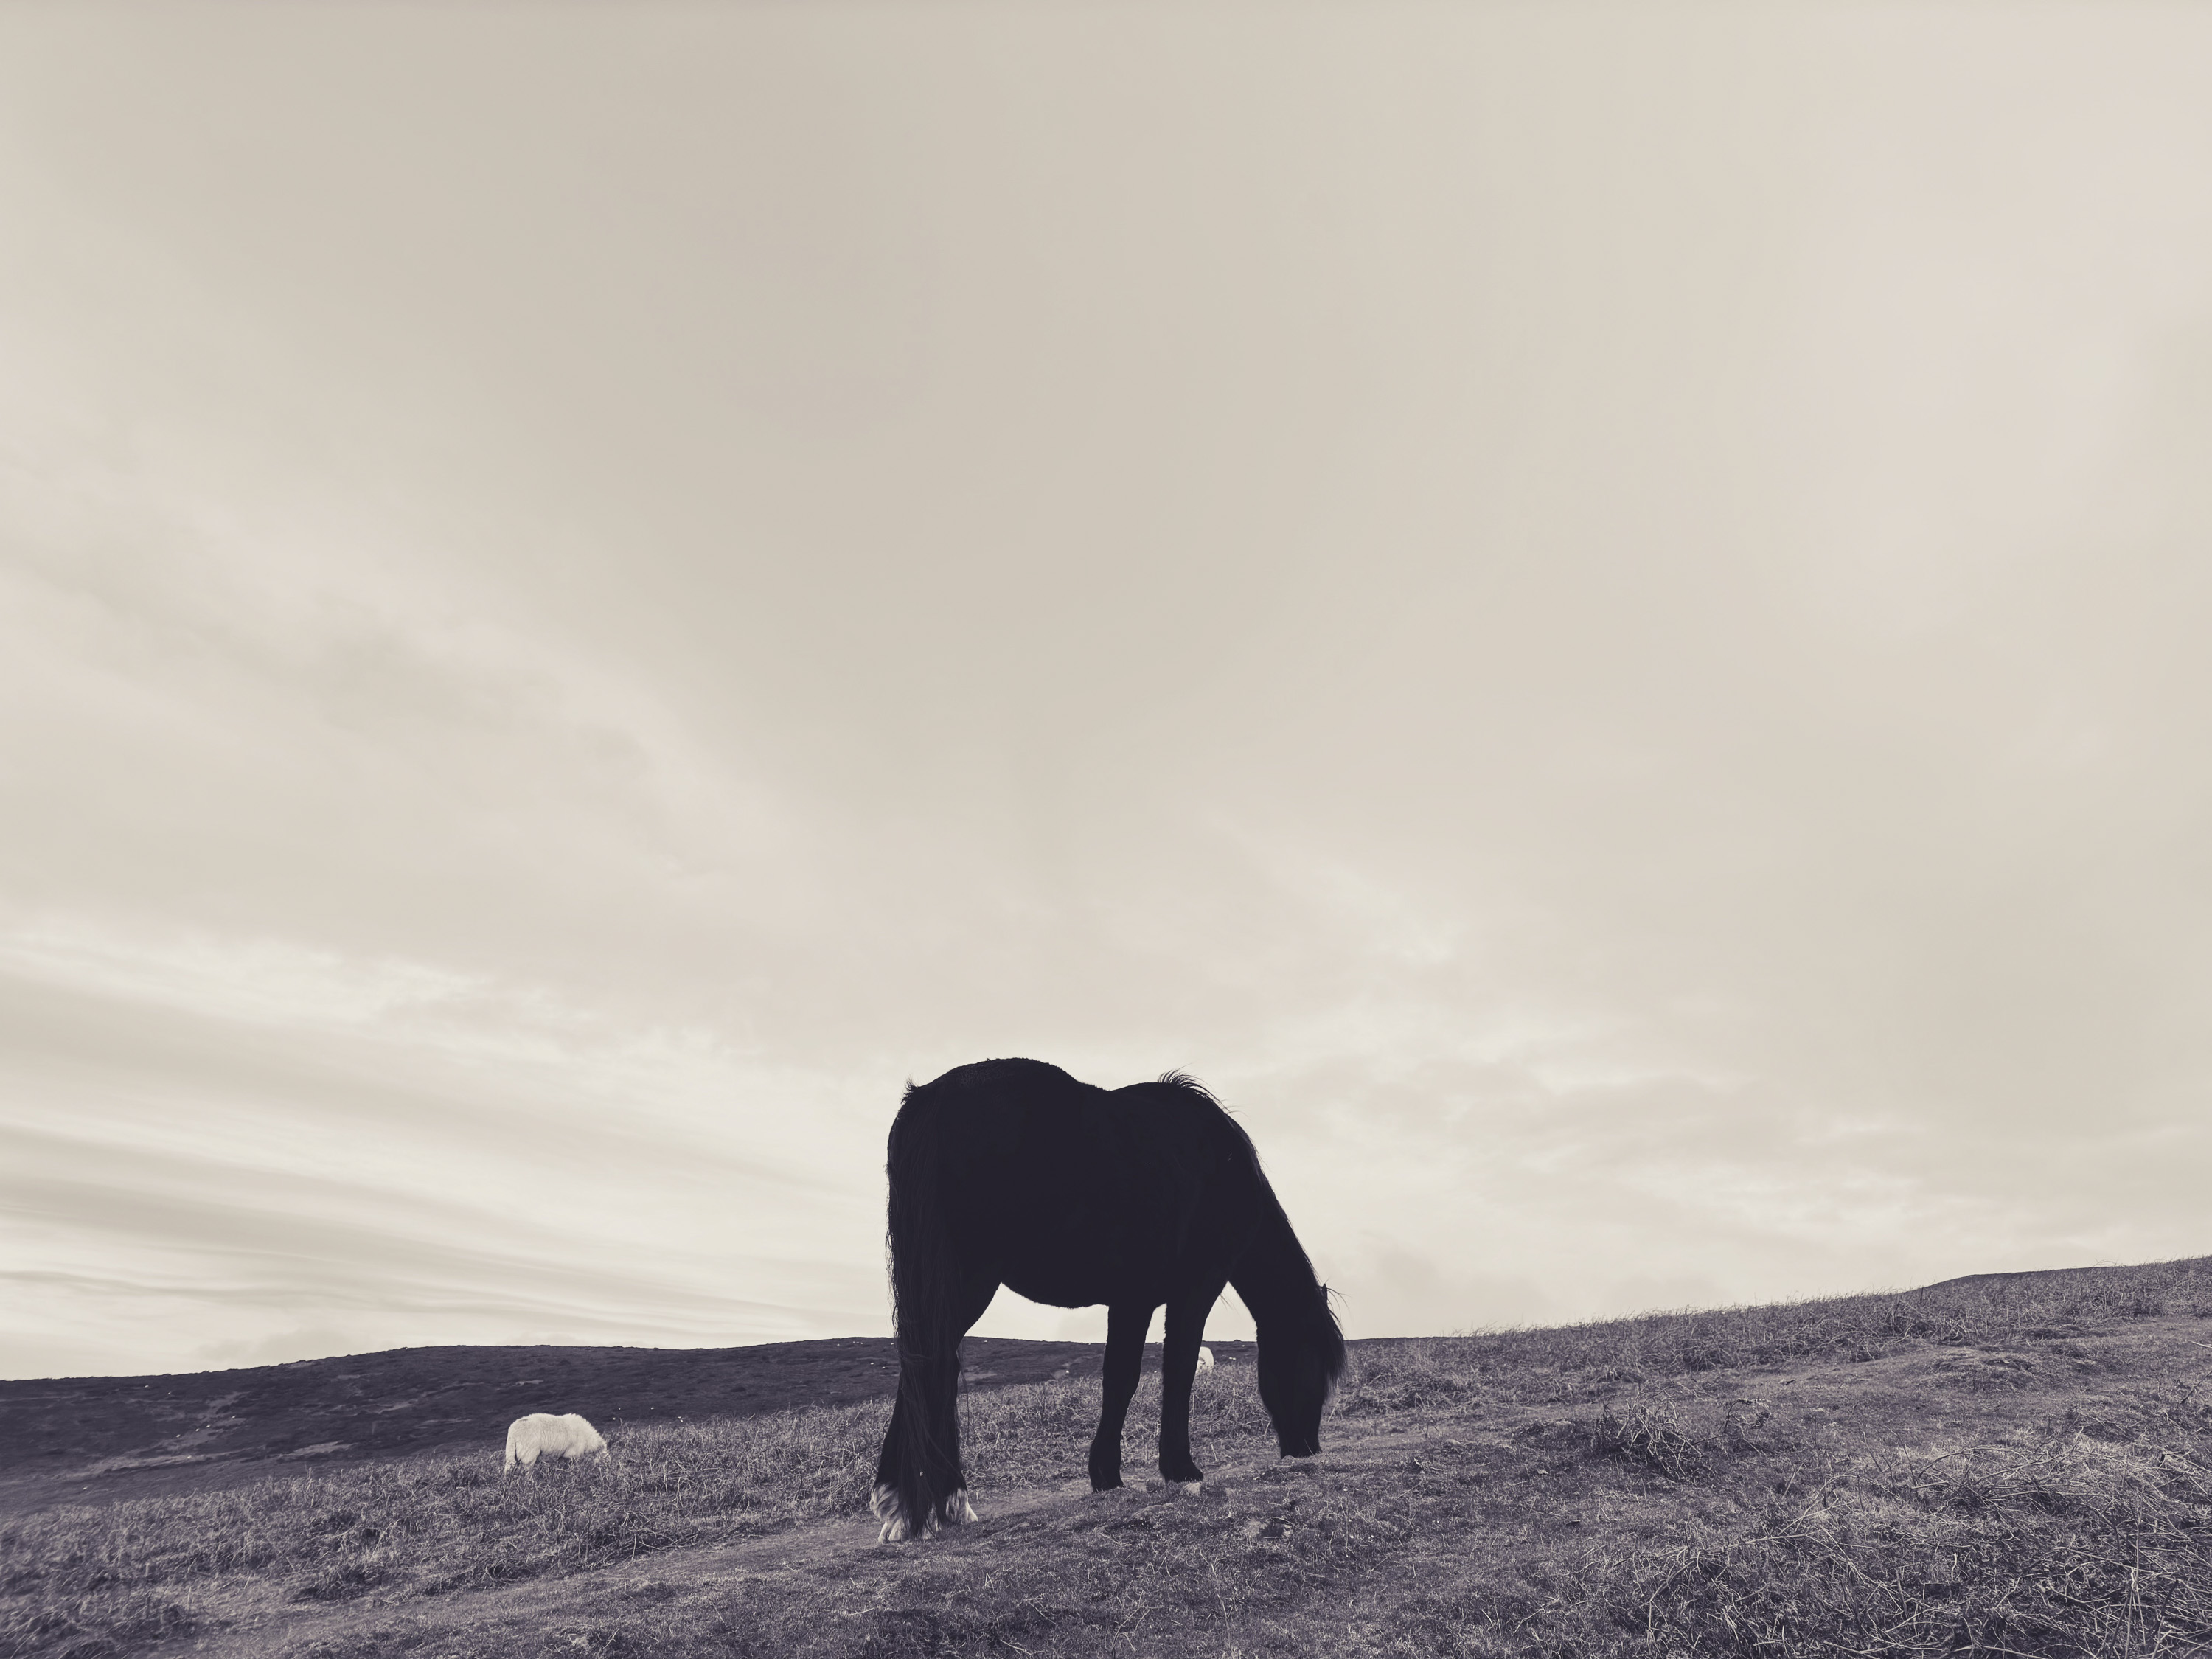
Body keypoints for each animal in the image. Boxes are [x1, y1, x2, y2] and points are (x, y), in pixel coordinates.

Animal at [500, 1416, 606, 1478]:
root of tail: (514, 1432)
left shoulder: (565, 1456)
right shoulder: (573, 1455)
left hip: (511, 1451)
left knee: (508, 1468)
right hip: (528, 1455)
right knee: (527, 1472)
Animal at [867, 1066, 1345, 1548]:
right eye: (1316, 1367)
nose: (1308, 1449)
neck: (1221, 1167)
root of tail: (930, 1099)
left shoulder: (1130, 1299)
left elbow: (1121, 1377)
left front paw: (1107, 1474)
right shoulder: (1184, 1291)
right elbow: (1164, 1372)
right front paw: (1174, 1469)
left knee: (927, 1369)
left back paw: (917, 1504)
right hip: (966, 1282)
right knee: (934, 1367)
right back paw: (934, 1503)